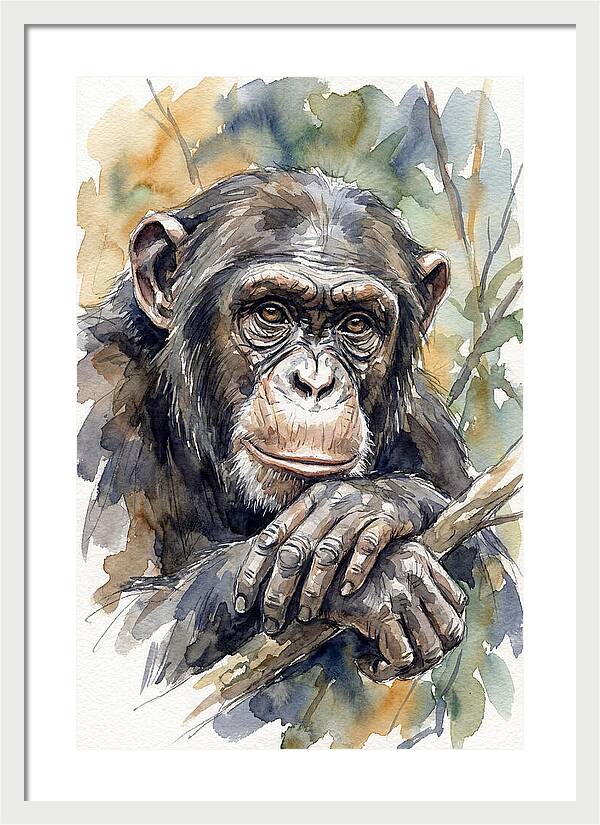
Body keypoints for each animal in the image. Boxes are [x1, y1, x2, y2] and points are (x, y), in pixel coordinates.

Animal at [78, 168, 521, 689]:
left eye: (357, 324)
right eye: (271, 312)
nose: (315, 382)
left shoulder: (430, 431)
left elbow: (501, 595)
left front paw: (369, 504)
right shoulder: (100, 399)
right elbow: (117, 630)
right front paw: (388, 578)